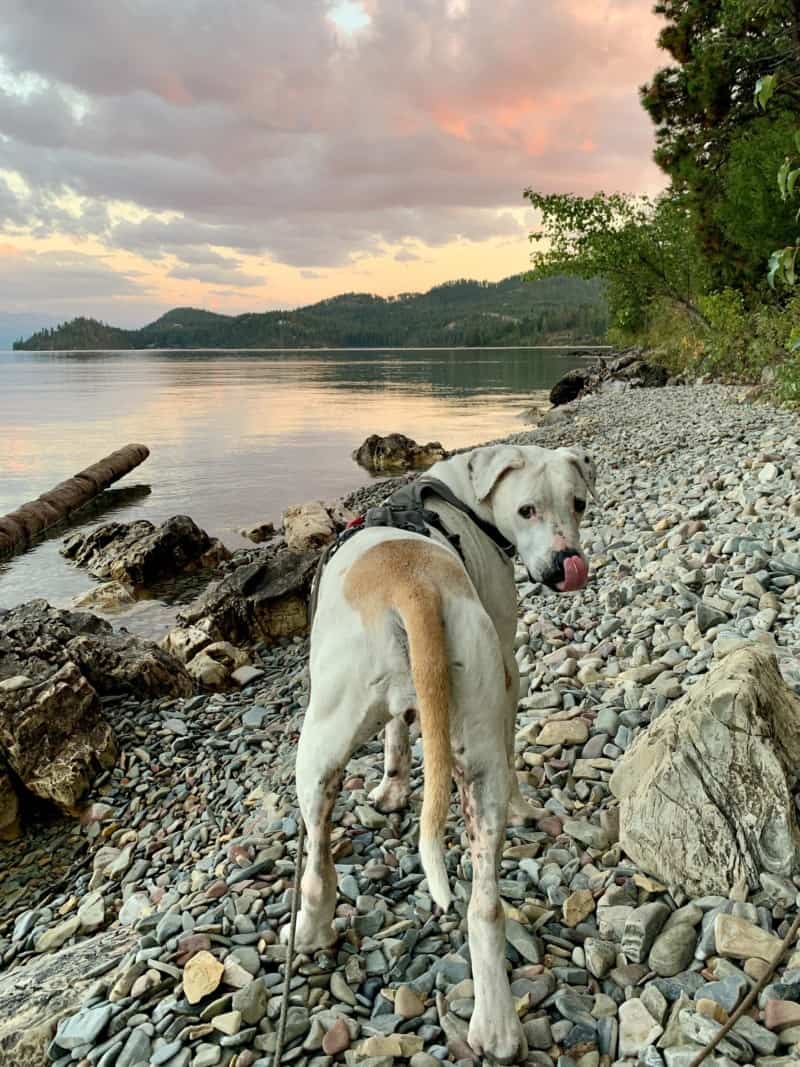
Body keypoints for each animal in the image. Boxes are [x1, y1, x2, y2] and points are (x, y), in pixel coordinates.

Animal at [285, 441, 597, 1058]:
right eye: (527, 510)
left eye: (576, 503)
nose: (564, 565)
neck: (459, 495)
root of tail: (415, 589)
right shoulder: (505, 671)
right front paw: (397, 787)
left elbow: (399, 729)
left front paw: (392, 788)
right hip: (475, 749)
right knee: (485, 903)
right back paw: (498, 1027)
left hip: (320, 745)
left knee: (317, 859)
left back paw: (312, 929)